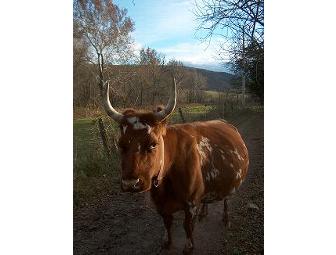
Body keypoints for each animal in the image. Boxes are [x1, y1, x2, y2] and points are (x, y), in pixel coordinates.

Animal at [103, 77, 249, 253]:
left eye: (153, 144)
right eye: (120, 144)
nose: (131, 183)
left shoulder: (191, 204)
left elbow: (188, 227)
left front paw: (189, 247)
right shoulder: (160, 204)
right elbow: (167, 224)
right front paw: (167, 242)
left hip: (230, 183)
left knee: (227, 200)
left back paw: (226, 218)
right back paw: (204, 213)